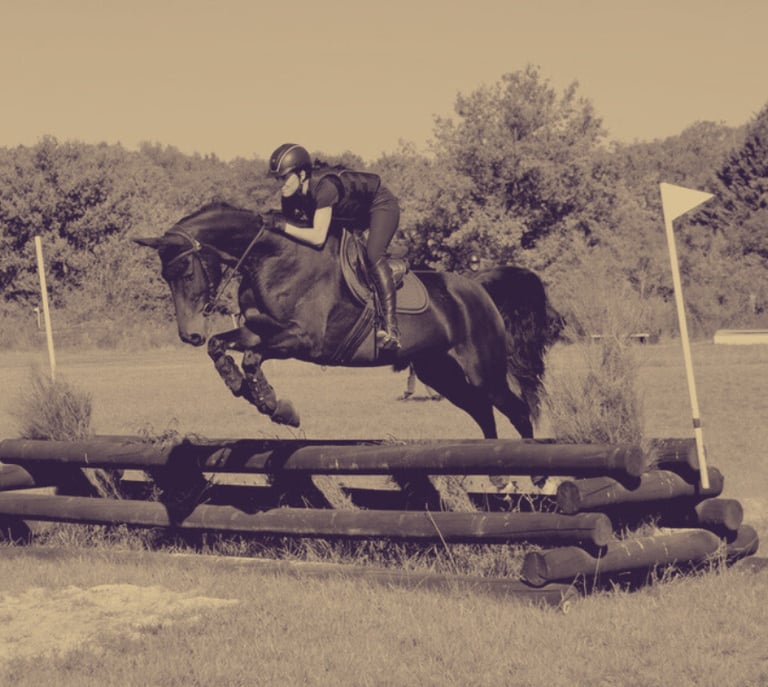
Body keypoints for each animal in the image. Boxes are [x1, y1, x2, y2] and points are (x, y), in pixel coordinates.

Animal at [133, 201, 560, 439]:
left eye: (185, 271)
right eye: (165, 276)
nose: (188, 334)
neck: (272, 258)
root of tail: (477, 288)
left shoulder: (303, 340)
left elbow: (254, 358)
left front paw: (275, 406)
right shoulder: (258, 330)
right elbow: (220, 345)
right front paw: (241, 386)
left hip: (483, 371)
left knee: (517, 410)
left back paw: (537, 480)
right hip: (442, 373)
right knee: (483, 412)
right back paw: (502, 477)